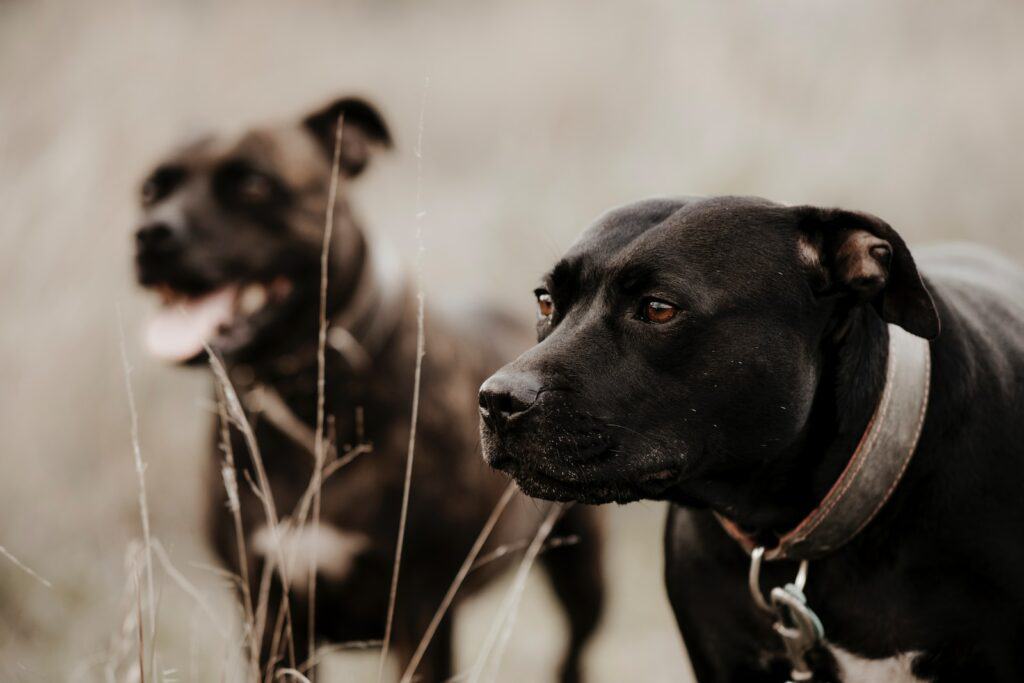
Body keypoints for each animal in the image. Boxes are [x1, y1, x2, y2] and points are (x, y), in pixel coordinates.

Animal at [132, 97, 602, 683]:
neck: (308, 400)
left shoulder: (419, 612)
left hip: (581, 571)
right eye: (151, 189)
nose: (151, 234)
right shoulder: (271, 618)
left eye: (254, 184)